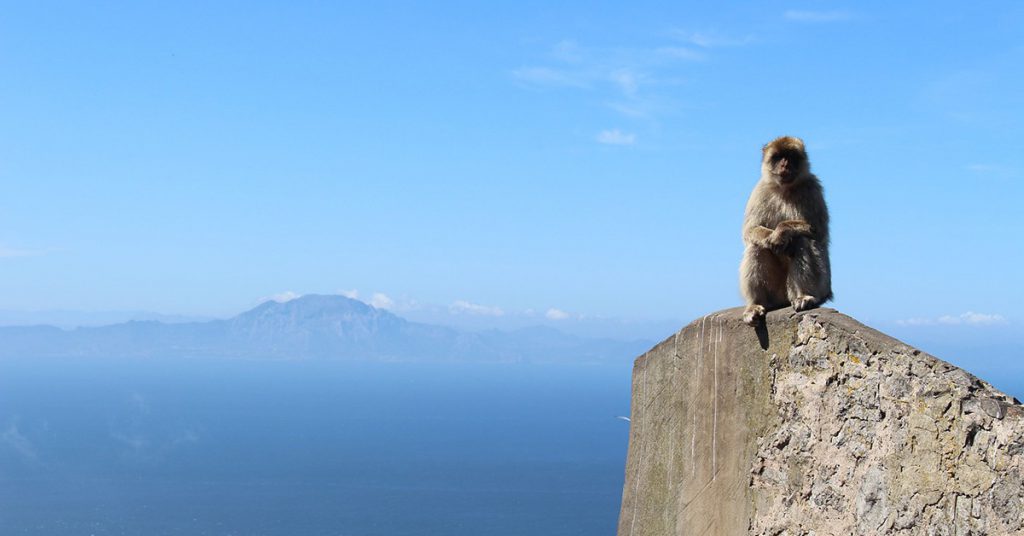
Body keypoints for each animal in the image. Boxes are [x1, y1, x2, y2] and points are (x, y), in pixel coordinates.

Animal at [739, 136, 831, 326]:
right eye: (778, 157)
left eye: (791, 157)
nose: (785, 165)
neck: (785, 189)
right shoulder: (760, 190)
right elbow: (750, 231)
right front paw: (772, 237)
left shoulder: (812, 187)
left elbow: (817, 230)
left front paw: (781, 232)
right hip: (775, 293)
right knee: (756, 246)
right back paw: (755, 304)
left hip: (822, 285)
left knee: (802, 239)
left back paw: (804, 296)